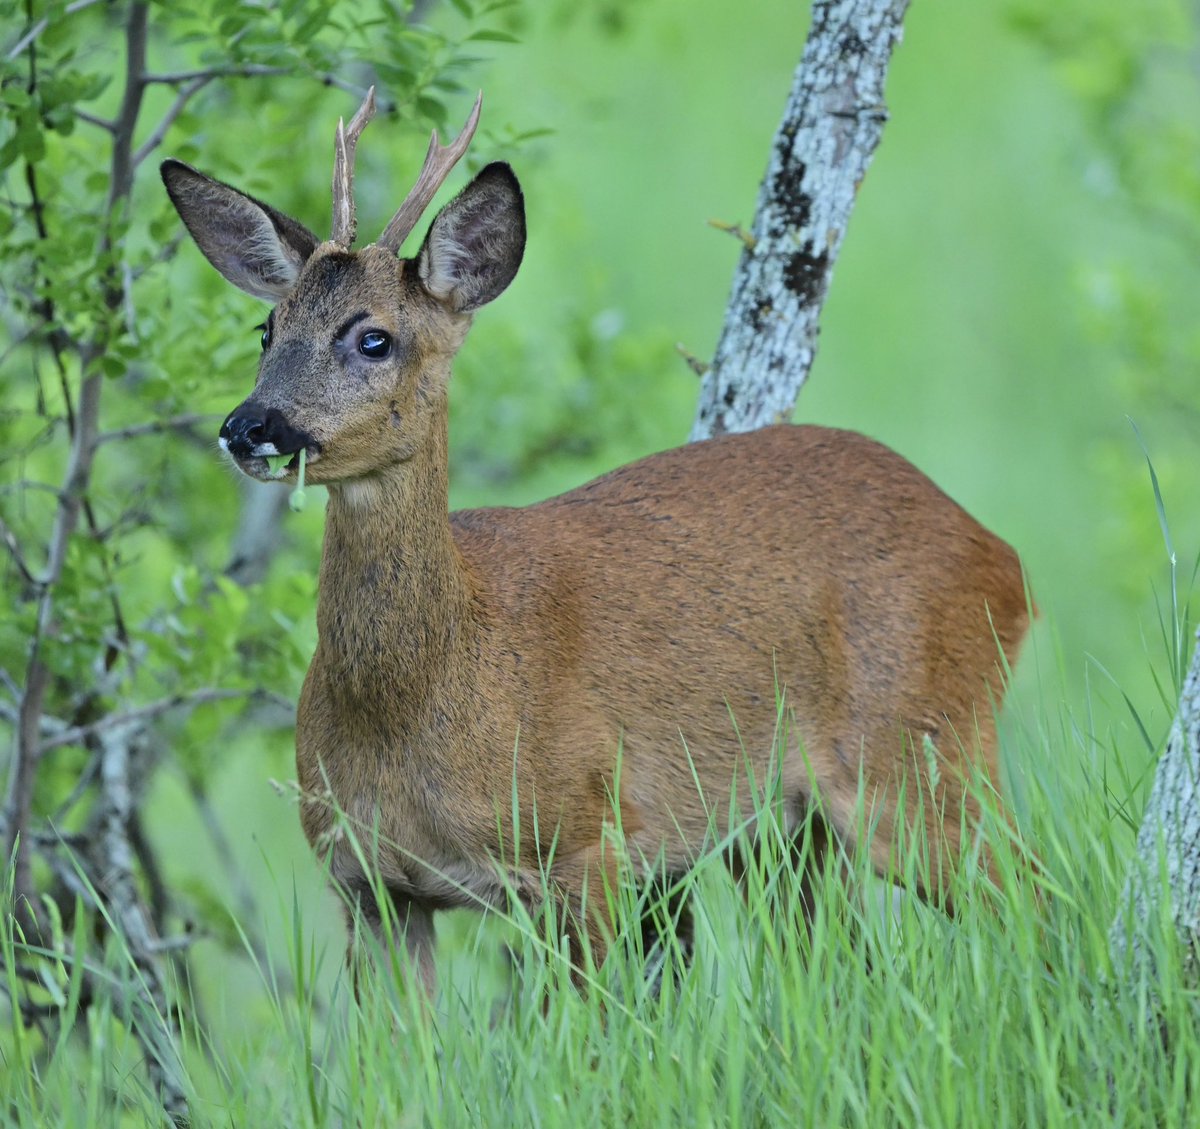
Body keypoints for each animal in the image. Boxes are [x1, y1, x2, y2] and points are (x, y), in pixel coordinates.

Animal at [162, 90, 1032, 988]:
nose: (249, 425)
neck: (433, 689)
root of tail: (1002, 558)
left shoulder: (584, 843)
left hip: (918, 748)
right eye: (267, 329)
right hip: (789, 826)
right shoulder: (366, 880)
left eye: (374, 337)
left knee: (1031, 898)